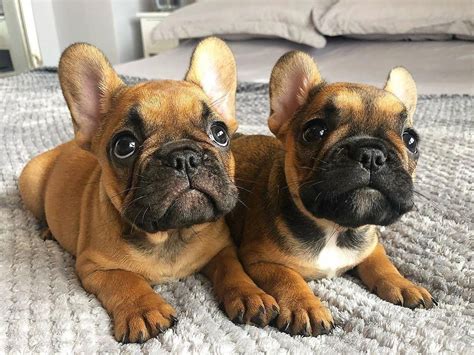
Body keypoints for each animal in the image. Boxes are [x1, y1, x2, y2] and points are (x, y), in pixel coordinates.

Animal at [19, 37, 278, 344]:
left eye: (220, 134)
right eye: (124, 146)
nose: (184, 157)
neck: (170, 236)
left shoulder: (222, 248)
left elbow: (232, 268)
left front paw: (250, 295)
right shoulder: (94, 266)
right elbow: (125, 279)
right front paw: (143, 309)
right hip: (30, 180)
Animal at [228, 51, 436, 338]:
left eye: (410, 139)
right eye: (315, 131)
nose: (372, 154)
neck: (335, 228)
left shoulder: (371, 244)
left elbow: (383, 263)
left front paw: (404, 284)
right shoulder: (259, 260)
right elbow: (288, 278)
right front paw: (305, 307)